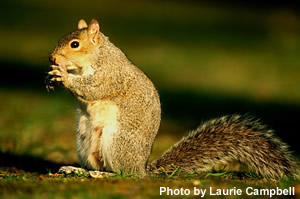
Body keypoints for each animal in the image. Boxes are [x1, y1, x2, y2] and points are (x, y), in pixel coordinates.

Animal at [45, 19, 298, 180]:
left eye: (75, 44)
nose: (52, 58)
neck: (97, 56)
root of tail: (143, 167)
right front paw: (51, 77)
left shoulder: (111, 75)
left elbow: (93, 88)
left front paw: (64, 76)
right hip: (85, 143)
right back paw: (78, 170)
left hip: (116, 142)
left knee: (126, 174)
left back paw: (101, 174)